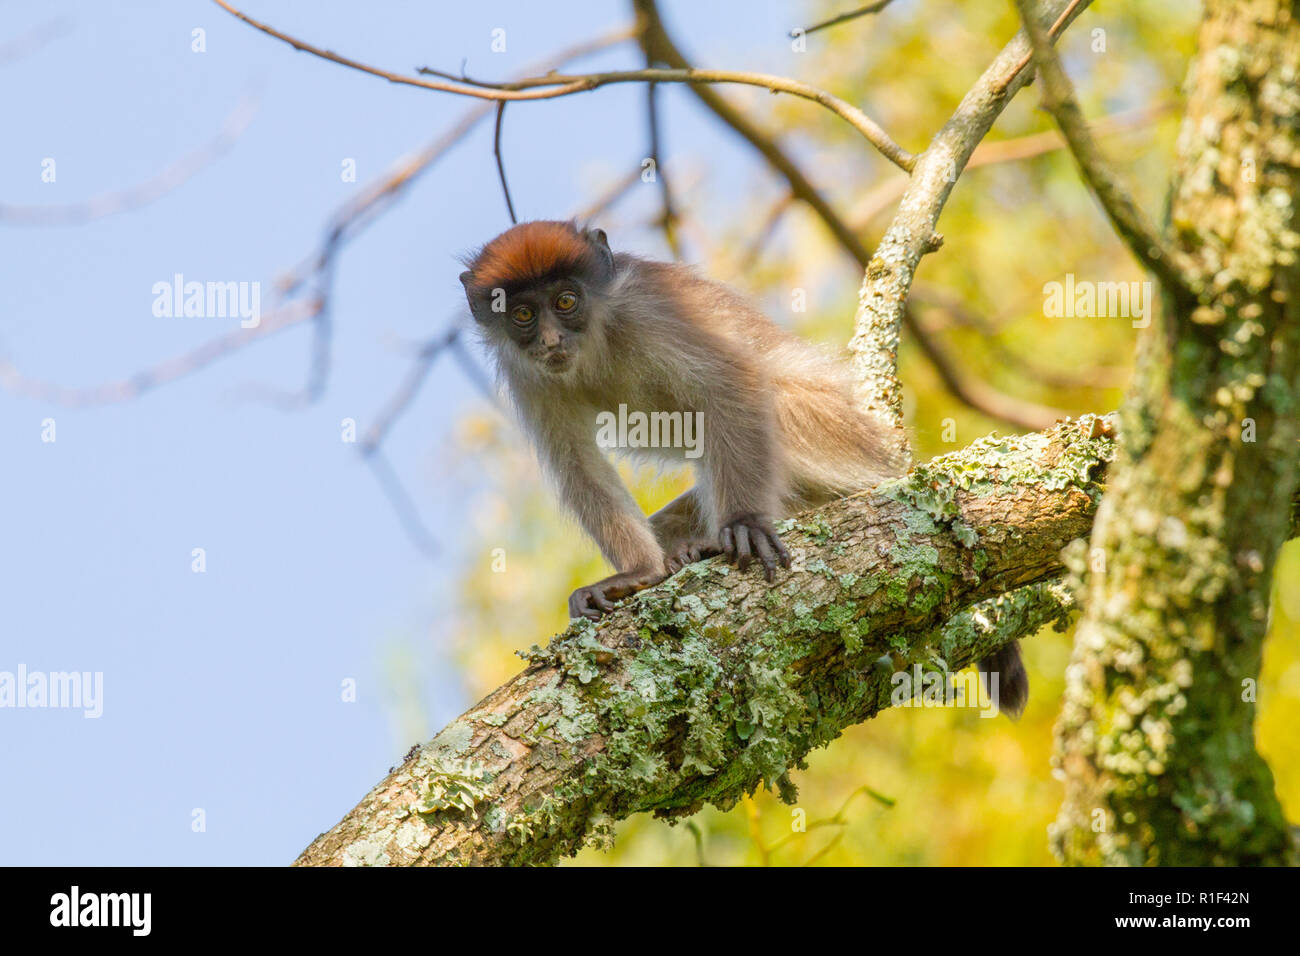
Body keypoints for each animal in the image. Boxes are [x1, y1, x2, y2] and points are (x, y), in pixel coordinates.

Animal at [457, 221, 1024, 717]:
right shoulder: (527, 372)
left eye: (565, 302)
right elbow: (578, 464)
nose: (551, 341)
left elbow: (734, 382)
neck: (595, 341)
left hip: (830, 435)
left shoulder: (649, 313)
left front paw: (745, 524)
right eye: (523, 314)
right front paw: (638, 574)